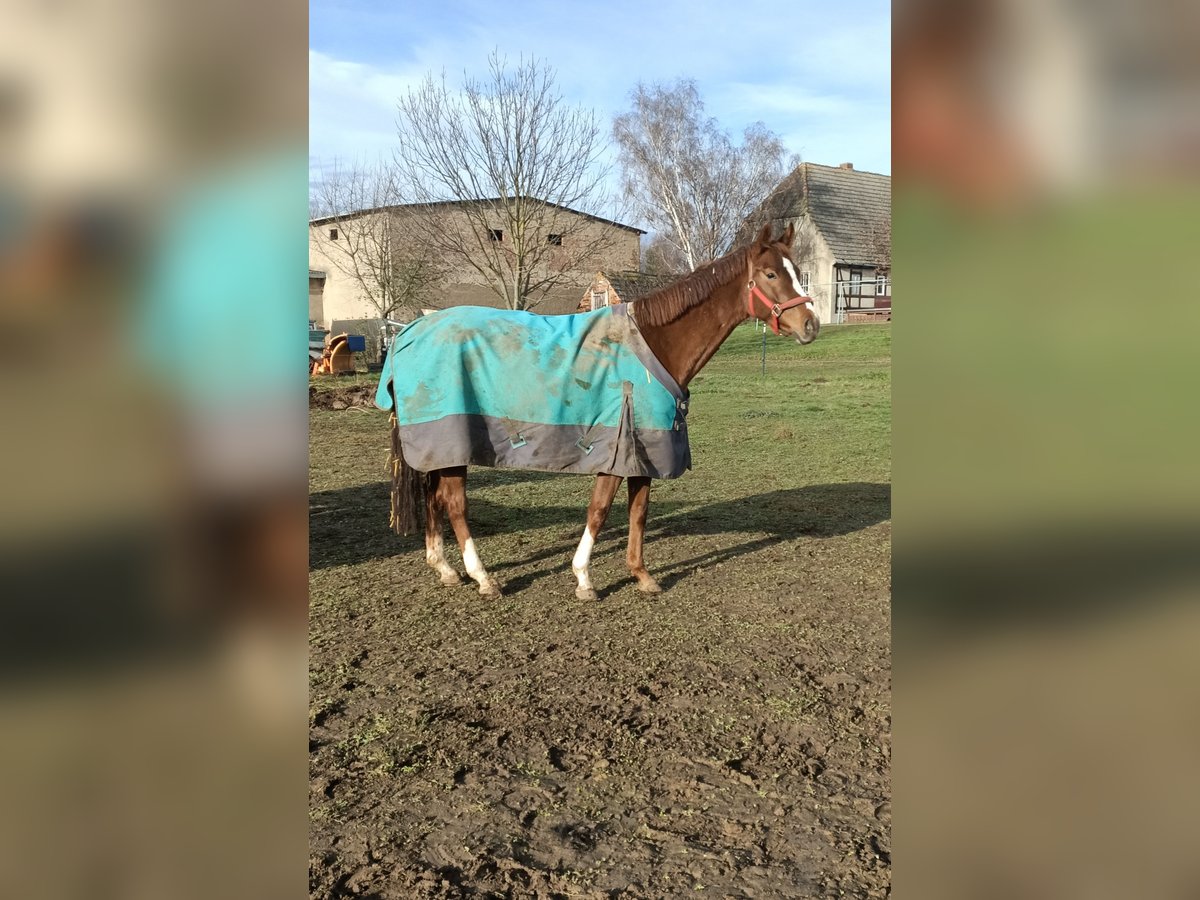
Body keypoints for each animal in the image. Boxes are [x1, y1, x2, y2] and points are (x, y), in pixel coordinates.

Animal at [377, 223, 819, 600]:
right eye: (770, 274)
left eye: (797, 272)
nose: (811, 325)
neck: (655, 344)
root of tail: (409, 332)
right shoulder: (617, 449)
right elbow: (600, 510)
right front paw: (584, 579)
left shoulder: (643, 453)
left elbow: (638, 512)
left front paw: (641, 575)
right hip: (452, 446)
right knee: (454, 505)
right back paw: (483, 578)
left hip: (439, 451)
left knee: (433, 498)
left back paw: (446, 569)